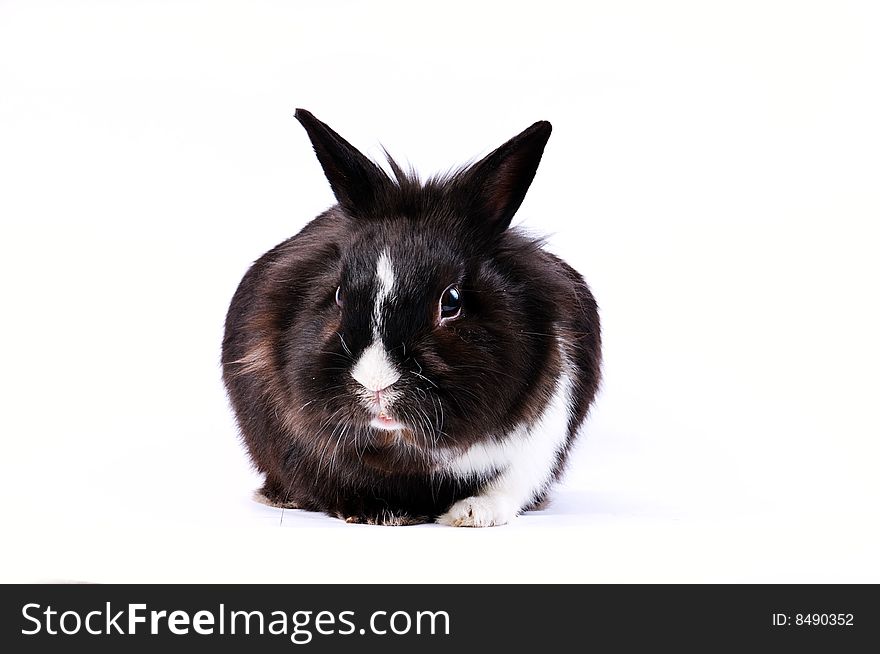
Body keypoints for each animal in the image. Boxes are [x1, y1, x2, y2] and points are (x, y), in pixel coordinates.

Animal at [223, 109, 600, 528]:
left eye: (451, 301)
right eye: (338, 295)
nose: (376, 385)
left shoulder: (546, 425)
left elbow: (510, 482)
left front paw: (472, 513)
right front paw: (373, 512)